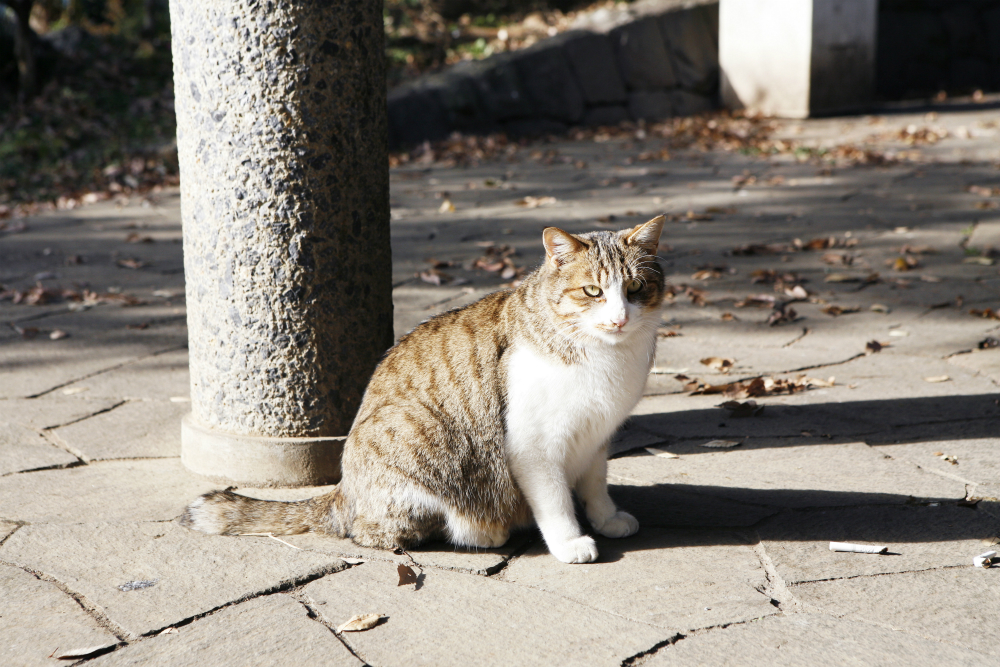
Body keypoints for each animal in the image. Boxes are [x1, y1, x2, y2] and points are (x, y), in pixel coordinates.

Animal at [182, 215, 664, 564]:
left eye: (636, 288)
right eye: (593, 291)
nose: (619, 318)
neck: (606, 355)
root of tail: (342, 492)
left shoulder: (596, 435)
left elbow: (595, 485)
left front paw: (606, 518)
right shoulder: (534, 447)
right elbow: (556, 501)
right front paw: (569, 542)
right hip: (422, 436)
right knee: (374, 531)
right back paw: (484, 532)